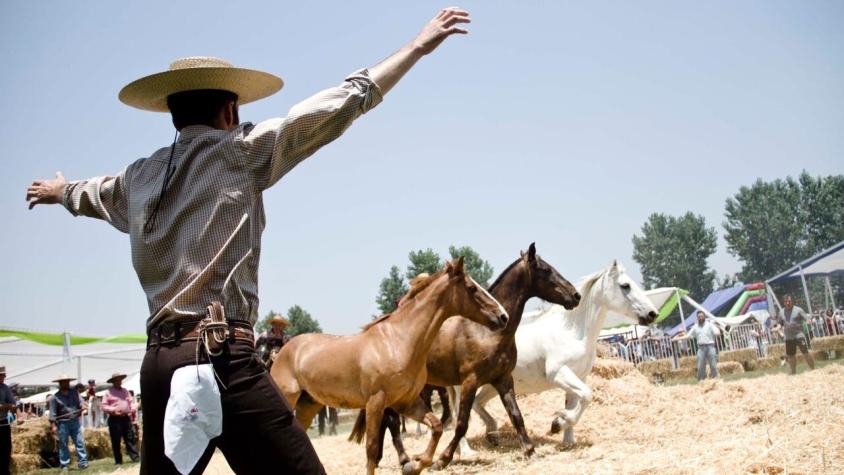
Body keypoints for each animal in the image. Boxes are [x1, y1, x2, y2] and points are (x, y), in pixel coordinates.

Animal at [272, 258, 508, 475]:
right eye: (471, 288)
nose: (503, 316)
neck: (398, 341)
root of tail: (282, 353)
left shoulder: (406, 402)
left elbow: (436, 426)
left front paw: (415, 464)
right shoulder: (376, 403)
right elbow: (371, 448)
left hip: (308, 405)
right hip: (289, 400)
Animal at [356, 244, 580, 470]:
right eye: (546, 270)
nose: (575, 295)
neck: (487, 332)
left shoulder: (503, 380)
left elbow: (516, 416)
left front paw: (530, 451)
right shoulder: (470, 382)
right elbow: (462, 423)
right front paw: (442, 460)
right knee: (391, 421)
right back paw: (403, 461)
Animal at [472, 262, 656, 448]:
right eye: (625, 286)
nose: (652, 314)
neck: (573, 332)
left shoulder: (579, 377)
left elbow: (577, 401)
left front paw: (566, 437)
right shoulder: (559, 374)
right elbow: (587, 395)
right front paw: (558, 423)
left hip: (493, 385)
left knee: (477, 403)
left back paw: (492, 434)